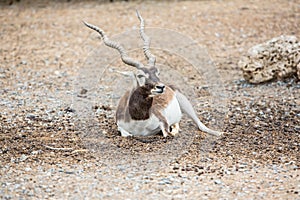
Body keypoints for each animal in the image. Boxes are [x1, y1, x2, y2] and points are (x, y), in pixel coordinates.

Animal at [84, 10, 223, 138]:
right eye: (140, 75)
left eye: (157, 72)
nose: (161, 87)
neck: (138, 120)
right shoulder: (121, 127)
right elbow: (127, 135)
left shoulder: (163, 123)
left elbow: (167, 132)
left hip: (185, 103)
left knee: (199, 125)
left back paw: (219, 132)